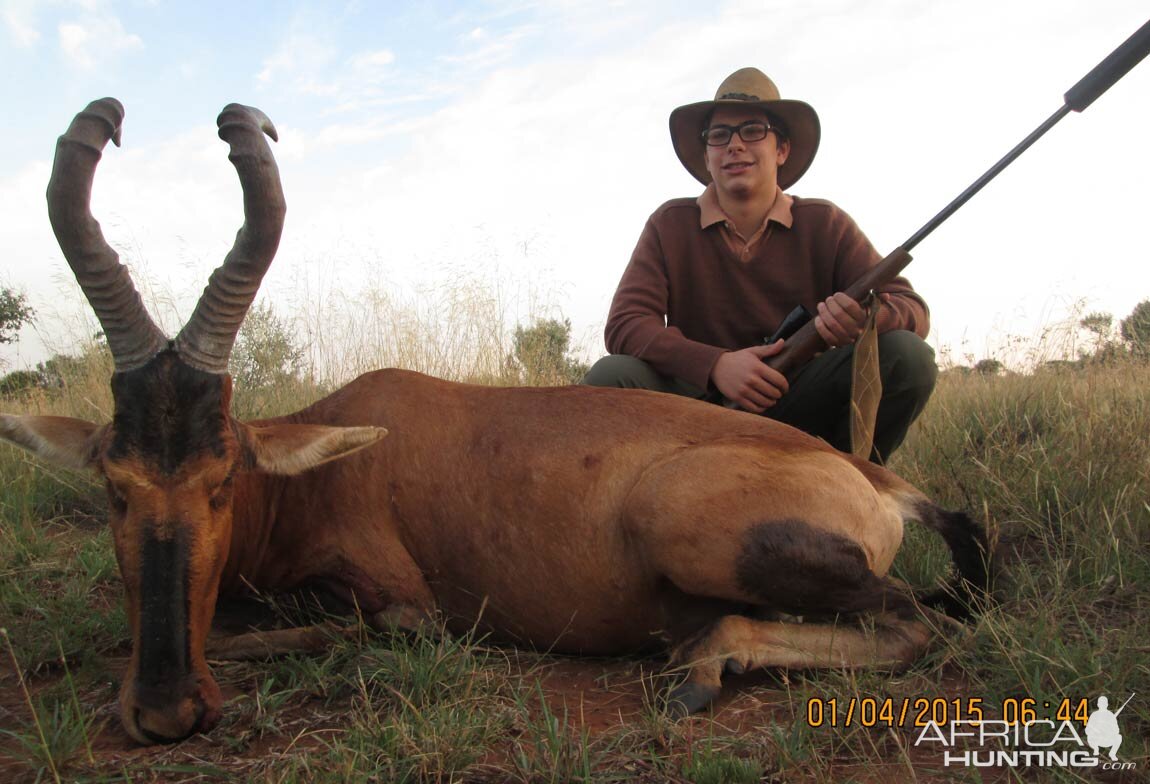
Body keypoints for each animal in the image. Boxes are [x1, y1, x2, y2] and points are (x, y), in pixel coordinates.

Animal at [2, 100, 989, 740]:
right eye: (113, 483)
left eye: (222, 479)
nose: (167, 711)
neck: (336, 453)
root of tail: (874, 478)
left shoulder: (409, 611)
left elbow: (281, 630)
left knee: (918, 623)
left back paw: (704, 665)